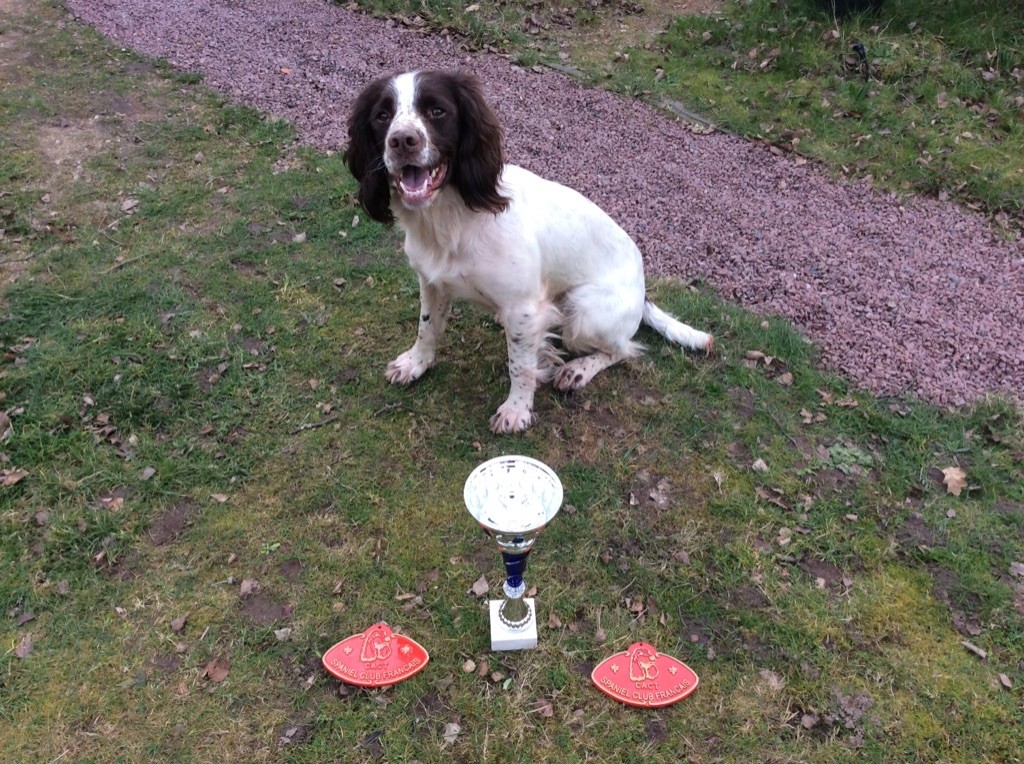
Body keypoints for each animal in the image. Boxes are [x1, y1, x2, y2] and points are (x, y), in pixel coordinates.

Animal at [344, 70, 712, 434]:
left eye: (437, 111)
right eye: (382, 116)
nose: (402, 141)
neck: (453, 217)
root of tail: (642, 290)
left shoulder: (524, 308)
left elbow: (520, 365)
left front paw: (517, 410)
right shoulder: (431, 282)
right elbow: (427, 327)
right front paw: (415, 364)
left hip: (585, 311)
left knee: (625, 348)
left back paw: (579, 369)